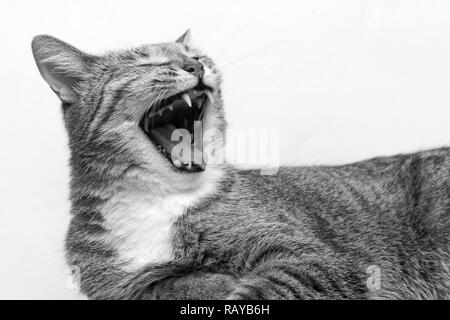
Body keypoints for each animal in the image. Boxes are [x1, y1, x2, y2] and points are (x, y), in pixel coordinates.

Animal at [31, 30, 450, 300]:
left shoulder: (313, 256)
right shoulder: (114, 283)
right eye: (147, 61)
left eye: (198, 54)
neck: (160, 200)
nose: (195, 64)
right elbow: (162, 285)